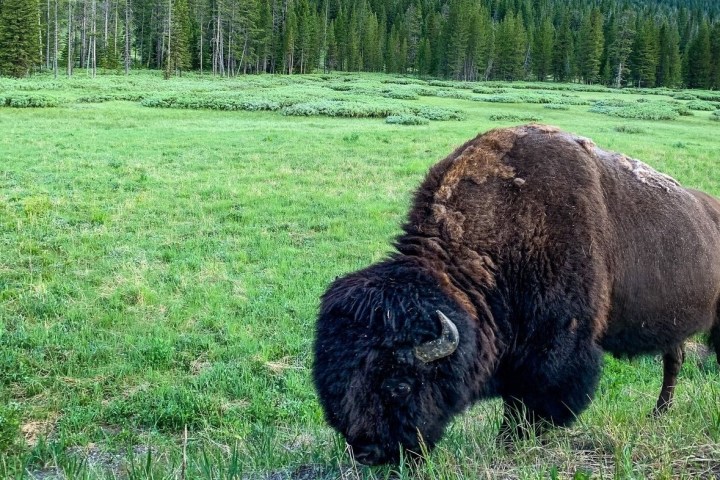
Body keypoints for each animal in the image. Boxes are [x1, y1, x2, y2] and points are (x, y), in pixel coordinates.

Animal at [313, 125, 720, 465]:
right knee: (674, 360)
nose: (367, 451)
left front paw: (512, 442)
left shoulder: (556, 348)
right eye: (332, 382)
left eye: (398, 385)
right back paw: (659, 413)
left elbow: (532, 402)